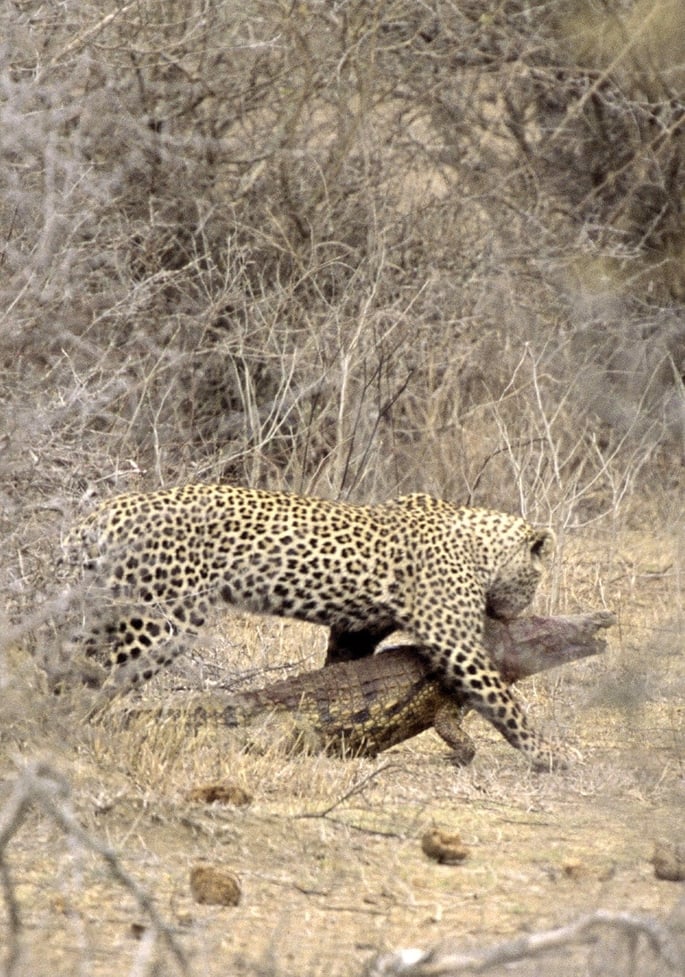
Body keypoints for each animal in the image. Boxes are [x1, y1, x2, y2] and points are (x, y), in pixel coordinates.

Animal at [60, 484, 560, 768]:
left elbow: (343, 673)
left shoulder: (355, 630)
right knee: (106, 678)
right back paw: (86, 732)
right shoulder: (454, 639)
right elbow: (502, 699)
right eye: (536, 578)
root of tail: (100, 515)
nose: (513, 614)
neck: (480, 545)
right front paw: (545, 753)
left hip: (104, 607)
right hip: (160, 620)